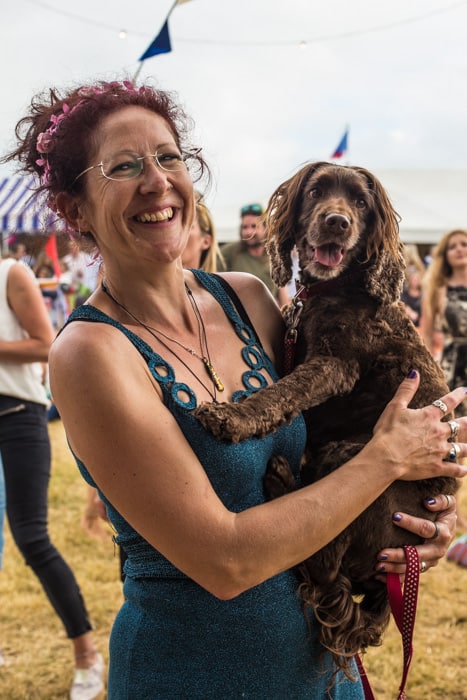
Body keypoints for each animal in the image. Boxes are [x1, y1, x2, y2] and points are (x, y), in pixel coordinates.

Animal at [195, 161, 460, 676]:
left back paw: (280, 482)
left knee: (322, 562)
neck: (334, 288)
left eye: (361, 202)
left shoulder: (335, 365)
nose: (337, 221)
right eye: (317, 191)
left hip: (356, 463)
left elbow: (280, 392)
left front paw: (231, 417)